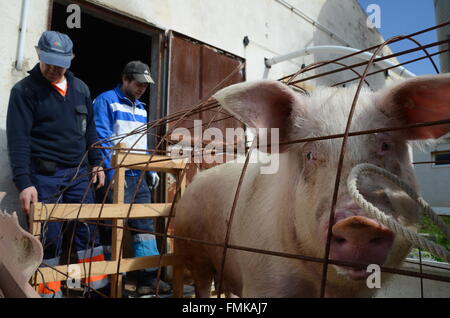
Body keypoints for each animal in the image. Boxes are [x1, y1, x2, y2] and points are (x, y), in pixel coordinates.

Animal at [172, 75, 450, 298]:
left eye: (385, 145)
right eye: (309, 154)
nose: (358, 222)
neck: (326, 286)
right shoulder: (264, 281)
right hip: (194, 251)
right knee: (201, 284)